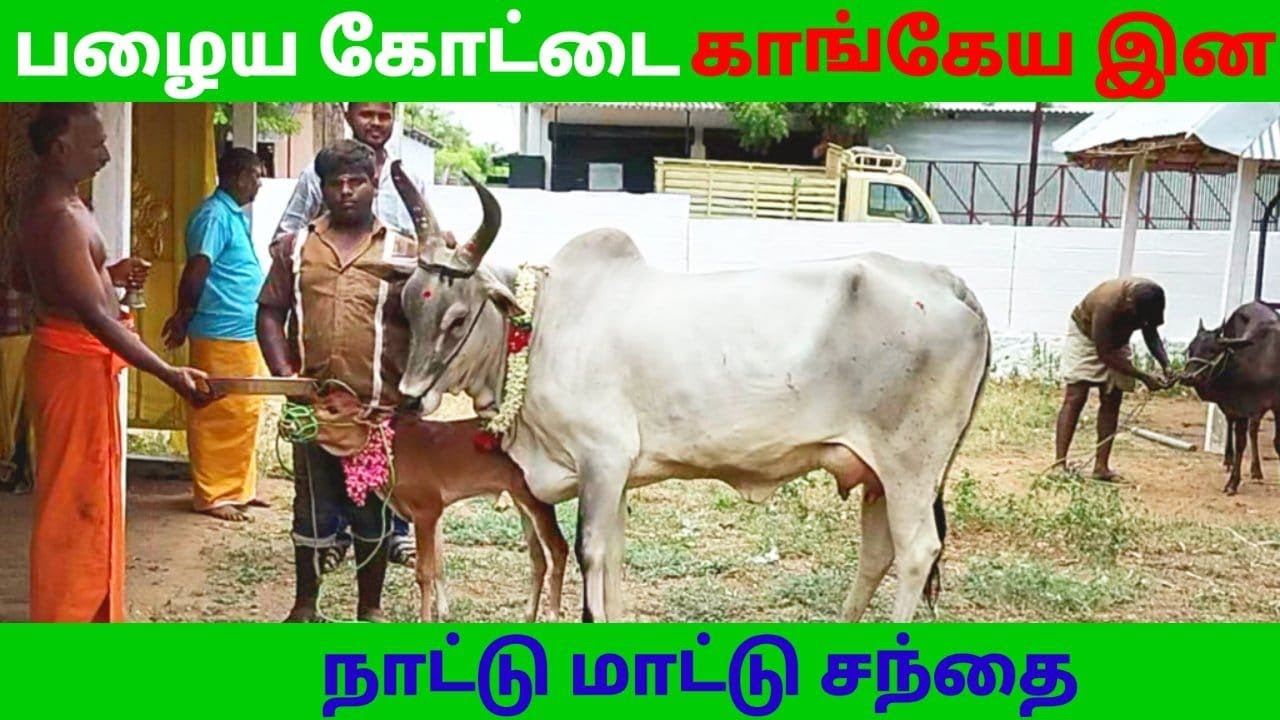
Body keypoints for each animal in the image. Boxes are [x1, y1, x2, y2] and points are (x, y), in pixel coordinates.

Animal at [366, 162, 992, 623]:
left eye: (457, 317)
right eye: (409, 303)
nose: (411, 397)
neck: (541, 328)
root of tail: (944, 280)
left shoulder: (602, 459)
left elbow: (592, 554)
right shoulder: (618, 475)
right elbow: (614, 562)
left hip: (911, 466)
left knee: (916, 553)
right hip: (877, 474)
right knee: (878, 552)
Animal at [1182, 300, 1280, 495]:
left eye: (1212, 350)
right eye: (1191, 348)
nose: (1187, 377)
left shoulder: (1273, 406)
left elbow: (1276, 442)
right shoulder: (1239, 407)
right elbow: (1241, 442)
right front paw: (1232, 483)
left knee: (1253, 431)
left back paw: (1256, 470)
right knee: (1230, 423)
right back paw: (1229, 459)